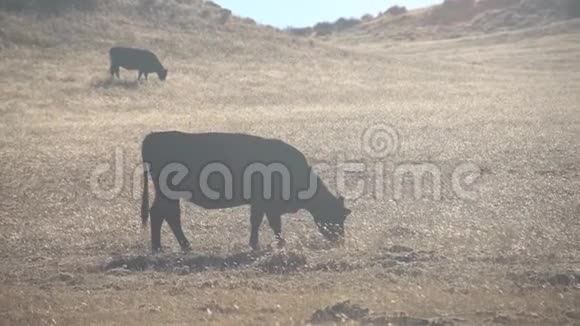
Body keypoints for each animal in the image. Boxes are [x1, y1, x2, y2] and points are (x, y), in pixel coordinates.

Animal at [140, 131, 352, 253]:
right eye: (337, 216)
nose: (340, 240)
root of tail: (152, 136)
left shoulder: (259, 205)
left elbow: (257, 222)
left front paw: (256, 243)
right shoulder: (268, 205)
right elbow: (272, 224)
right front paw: (277, 244)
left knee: (165, 215)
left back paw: (167, 246)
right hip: (168, 194)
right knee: (165, 214)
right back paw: (171, 246)